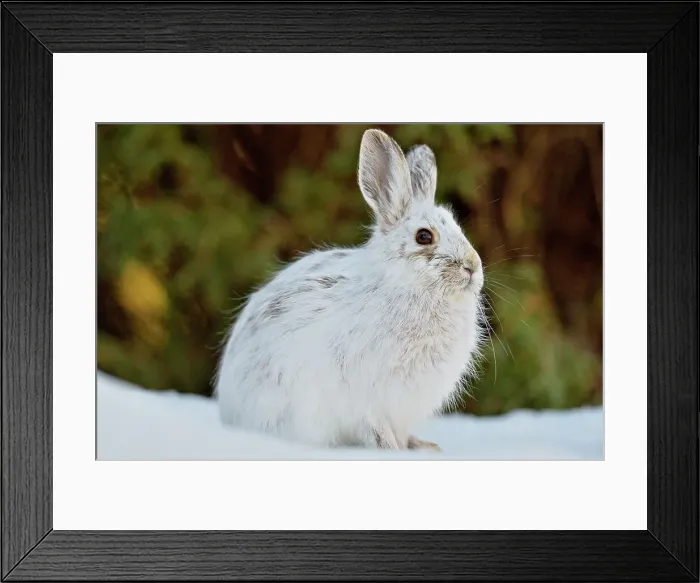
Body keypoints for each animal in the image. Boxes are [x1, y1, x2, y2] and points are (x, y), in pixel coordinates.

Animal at [214, 128, 485, 451]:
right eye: (424, 237)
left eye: (459, 228)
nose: (472, 266)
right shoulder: (369, 399)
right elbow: (377, 429)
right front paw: (392, 449)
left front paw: (419, 447)